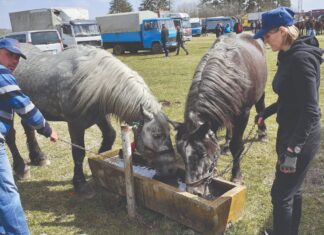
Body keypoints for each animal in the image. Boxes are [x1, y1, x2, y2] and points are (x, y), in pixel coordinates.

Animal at [7, 44, 178, 198]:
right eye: (156, 135)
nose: (171, 171)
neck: (93, 80)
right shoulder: (75, 124)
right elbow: (78, 153)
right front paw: (80, 183)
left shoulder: (99, 117)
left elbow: (110, 135)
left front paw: (98, 162)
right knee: (11, 136)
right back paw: (21, 168)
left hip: (27, 107)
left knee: (28, 128)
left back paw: (38, 157)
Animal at [173, 32, 268, 195]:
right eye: (181, 154)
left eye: (203, 153)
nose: (194, 192)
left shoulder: (243, 113)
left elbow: (237, 146)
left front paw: (236, 176)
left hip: (259, 94)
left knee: (261, 106)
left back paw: (262, 134)